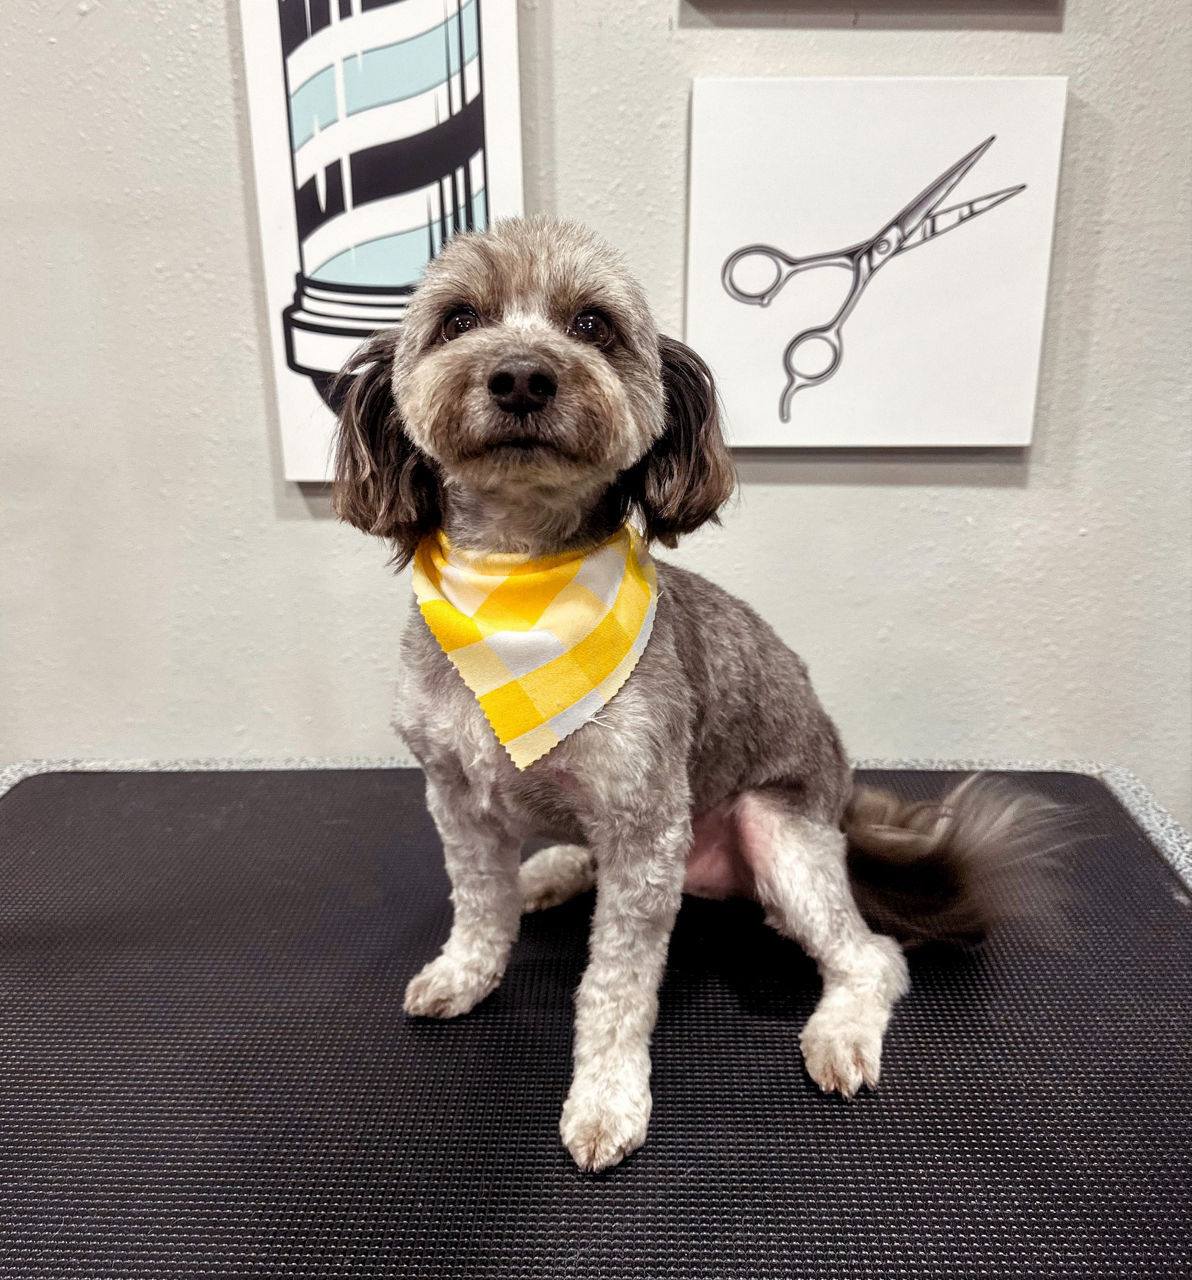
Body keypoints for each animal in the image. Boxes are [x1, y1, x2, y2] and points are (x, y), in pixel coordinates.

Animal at [327, 217, 1055, 1172]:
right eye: (458, 320)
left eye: (592, 325)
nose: (522, 375)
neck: (517, 591)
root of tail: (843, 810)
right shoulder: (455, 796)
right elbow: (479, 905)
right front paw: (466, 971)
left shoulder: (644, 822)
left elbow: (615, 986)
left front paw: (606, 1099)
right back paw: (548, 871)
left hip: (775, 829)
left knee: (873, 956)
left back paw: (841, 1031)